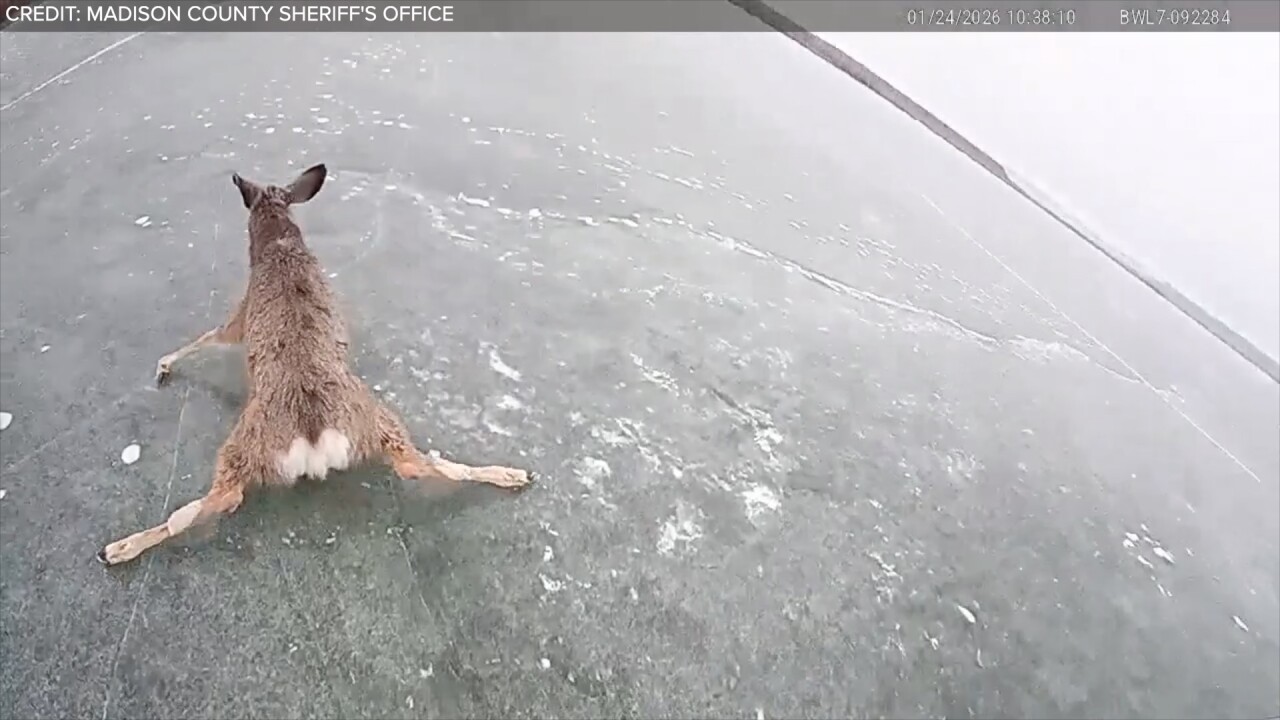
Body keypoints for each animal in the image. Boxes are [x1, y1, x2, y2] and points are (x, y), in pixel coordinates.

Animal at [98, 163, 532, 566]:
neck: (279, 244)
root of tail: (314, 432)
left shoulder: (240, 317)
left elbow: (209, 335)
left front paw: (163, 364)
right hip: (378, 425)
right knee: (418, 464)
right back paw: (512, 474)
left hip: (248, 441)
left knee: (220, 498)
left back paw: (117, 548)